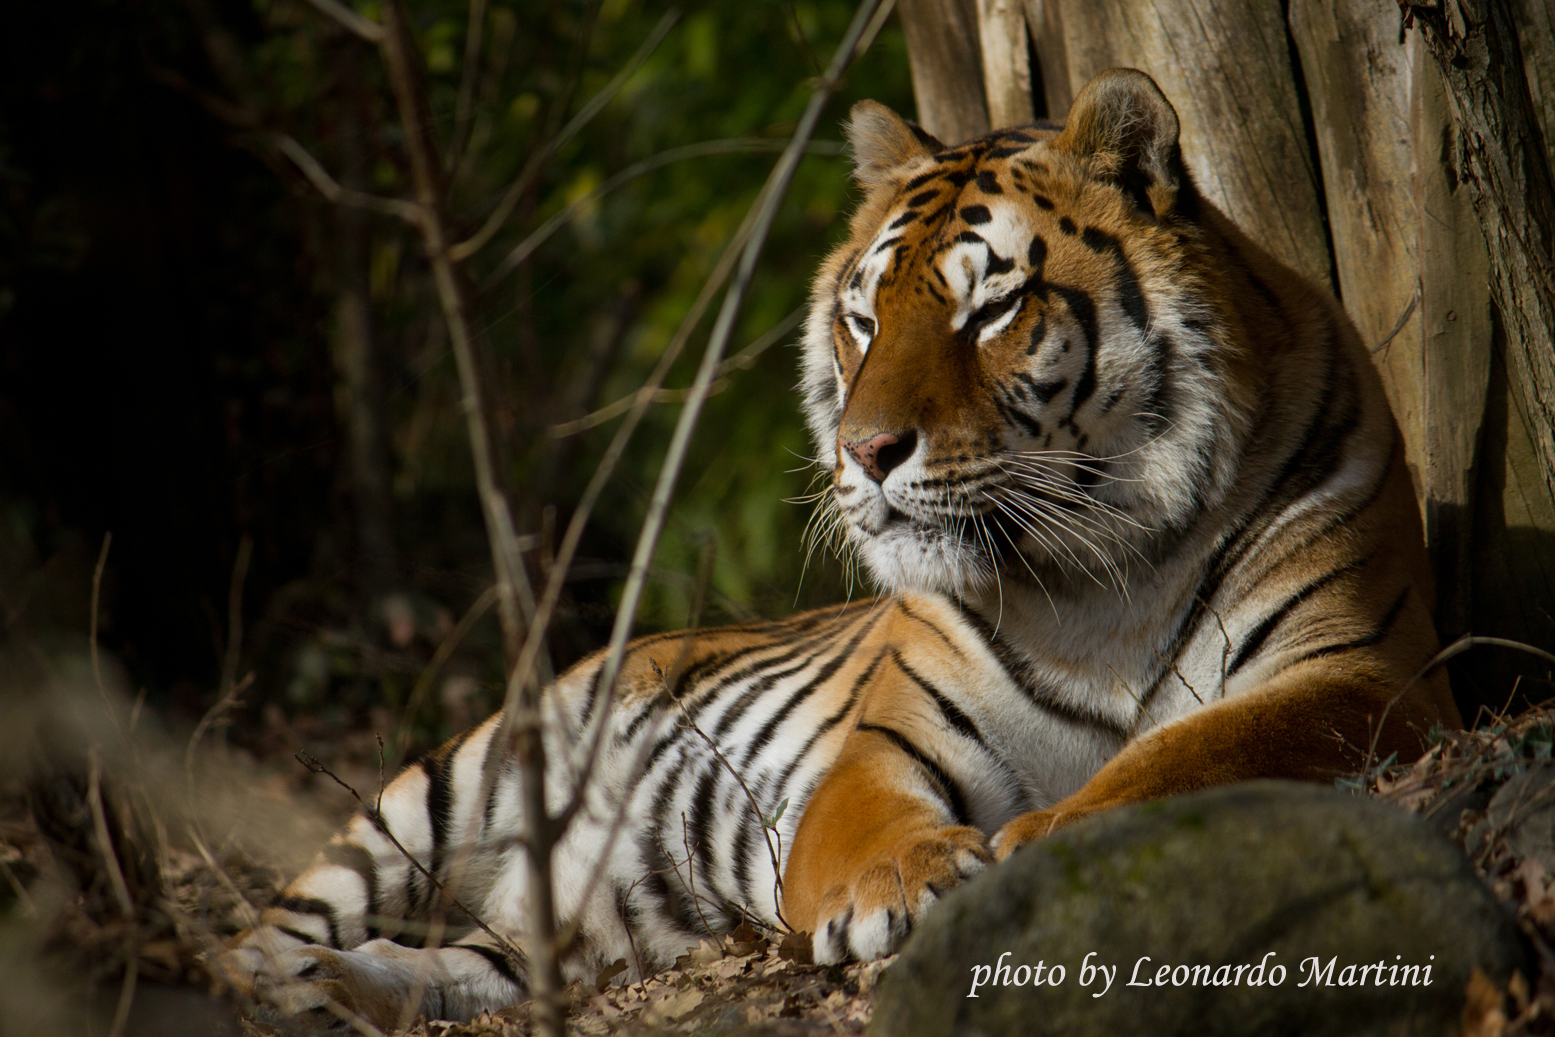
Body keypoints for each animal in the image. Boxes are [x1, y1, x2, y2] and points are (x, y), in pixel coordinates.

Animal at [217, 68, 1461, 1027]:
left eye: (988, 310)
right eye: (864, 319)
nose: (863, 450)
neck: (1104, 570)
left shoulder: (1358, 674)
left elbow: (1187, 755)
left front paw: (1045, 838)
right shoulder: (887, 738)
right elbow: (869, 817)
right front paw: (902, 882)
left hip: (540, 940)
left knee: (450, 967)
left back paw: (340, 991)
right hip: (436, 790)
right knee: (275, 923)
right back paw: (267, 982)